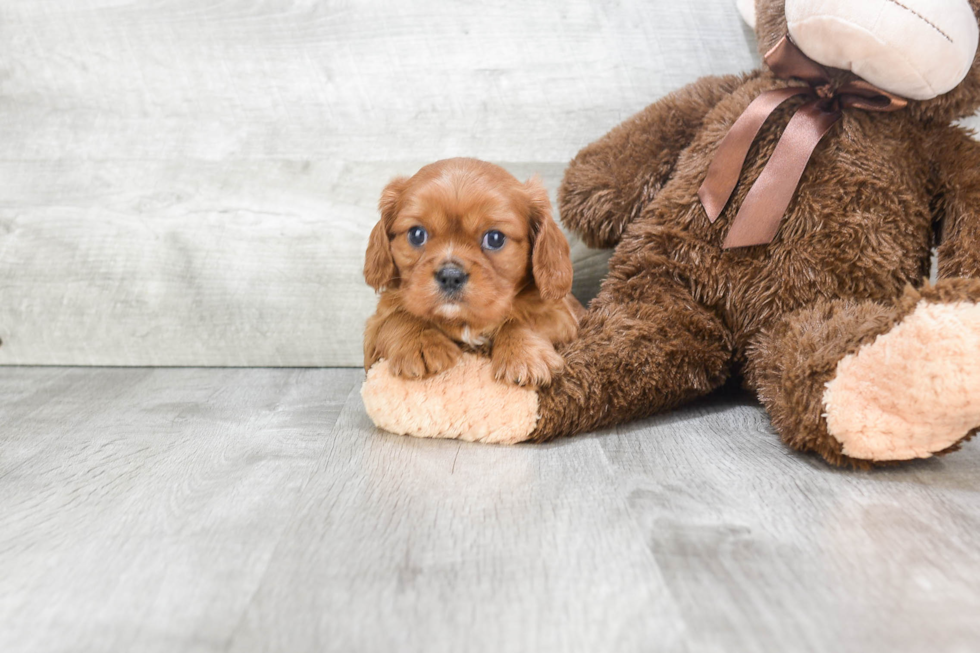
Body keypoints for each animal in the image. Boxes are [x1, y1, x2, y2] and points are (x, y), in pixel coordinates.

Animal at [366, 157, 580, 384]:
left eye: (495, 238)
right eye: (416, 234)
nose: (450, 276)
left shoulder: (561, 315)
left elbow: (522, 320)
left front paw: (521, 356)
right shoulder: (373, 330)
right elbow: (398, 318)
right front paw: (421, 344)